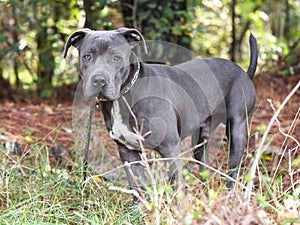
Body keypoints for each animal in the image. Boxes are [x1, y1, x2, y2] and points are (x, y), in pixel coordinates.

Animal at [63, 27, 258, 197]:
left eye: (116, 58)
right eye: (87, 56)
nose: (99, 80)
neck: (125, 95)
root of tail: (243, 72)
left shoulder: (170, 147)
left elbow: (177, 184)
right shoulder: (127, 152)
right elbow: (137, 185)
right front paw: (138, 210)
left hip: (237, 129)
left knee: (234, 168)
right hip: (201, 138)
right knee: (204, 164)